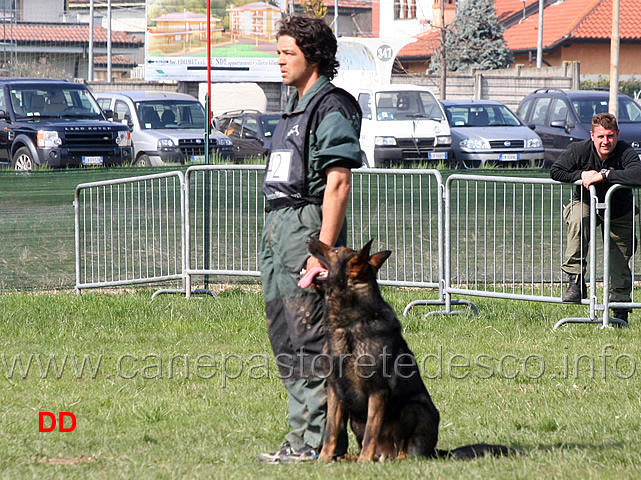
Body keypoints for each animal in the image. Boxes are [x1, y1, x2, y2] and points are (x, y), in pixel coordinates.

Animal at [298, 238, 512, 464]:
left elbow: (371, 432)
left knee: (406, 451)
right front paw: (323, 459)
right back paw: (351, 457)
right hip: (356, 420)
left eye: (336, 249)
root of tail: (435, 451)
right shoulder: (334, 390)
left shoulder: (378, 390)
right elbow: (330, 431)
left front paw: (363, 461)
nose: (309, 239)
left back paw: (384, 459)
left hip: (414, 409)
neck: (350, 325)